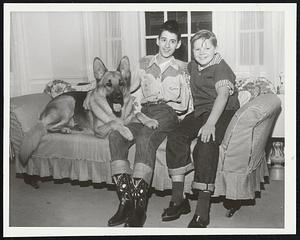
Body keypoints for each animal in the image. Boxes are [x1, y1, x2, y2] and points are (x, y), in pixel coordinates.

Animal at [18, 55, 156, 167]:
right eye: (108, 84)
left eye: (121, 83)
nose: (118, 97)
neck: (115, 113)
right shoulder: (99, 130)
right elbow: (114, 122)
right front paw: (126, 131)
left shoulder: (129, 118)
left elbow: (139, 113)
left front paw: (150, 121)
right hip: (68, 103)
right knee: (47, 127)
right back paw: (65, 129)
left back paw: (72, 128)